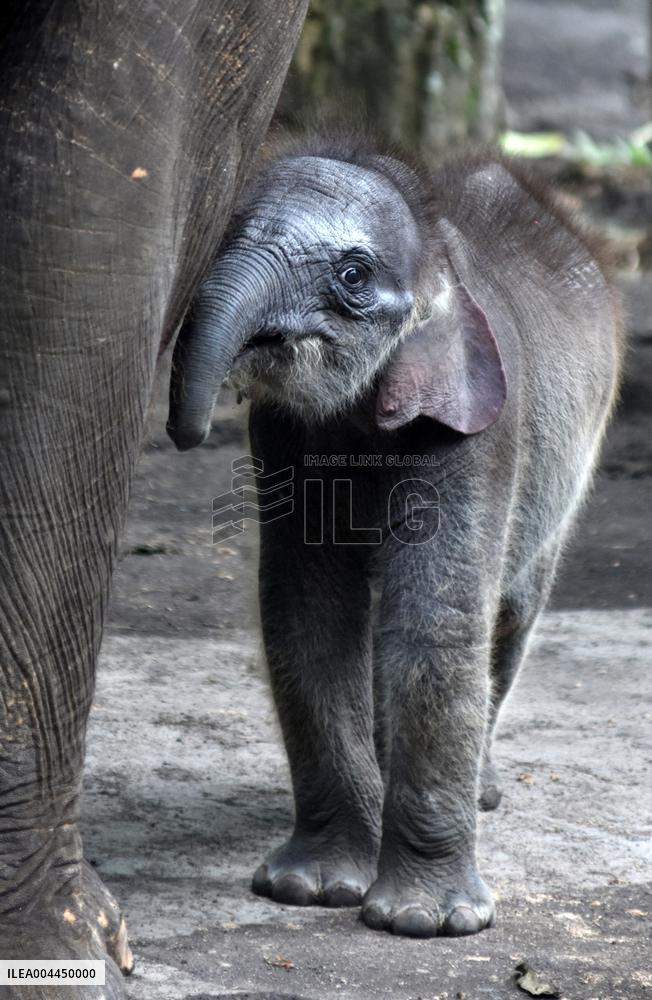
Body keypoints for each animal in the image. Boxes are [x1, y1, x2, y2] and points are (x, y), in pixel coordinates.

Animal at [167, 134, 623, 938]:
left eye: (352, 275)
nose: (184, 430)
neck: (436, 252)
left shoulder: (481, 426)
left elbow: (435, 617)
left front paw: (424, 922)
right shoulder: (283, 435)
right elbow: (308, 612)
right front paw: (311, 889)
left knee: (511, 610)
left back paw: (481, 792)